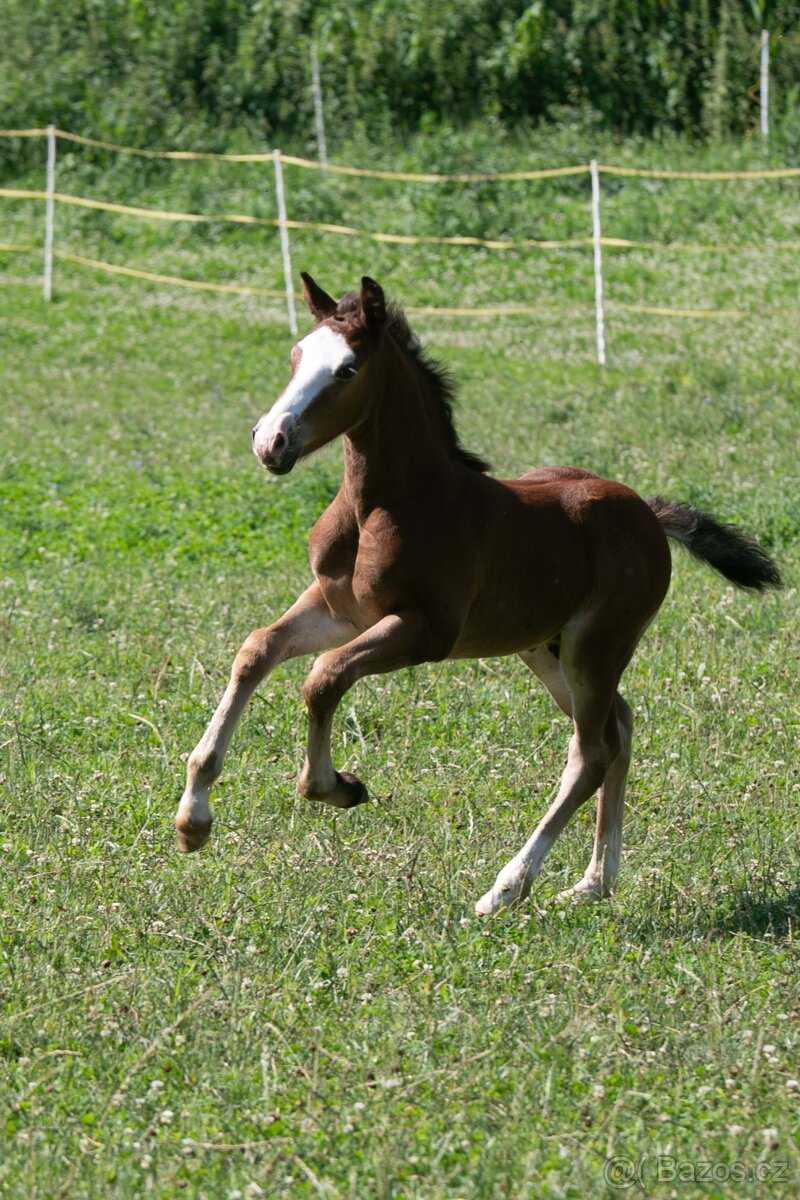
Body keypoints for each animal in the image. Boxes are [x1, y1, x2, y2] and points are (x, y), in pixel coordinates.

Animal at [173, 274, 777, 916]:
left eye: (346, 369)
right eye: (295, 356)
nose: (271, 441)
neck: (383, 505)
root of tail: (648, 514)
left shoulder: (424, 631)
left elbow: (324, 677)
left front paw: (337, 787)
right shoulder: (340, 611)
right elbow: (256, 649)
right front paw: (193, 821)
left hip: (597, 647)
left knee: (590, 753)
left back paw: (507, 887)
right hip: (547, 649)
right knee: (619, 728)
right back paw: (594, 881)